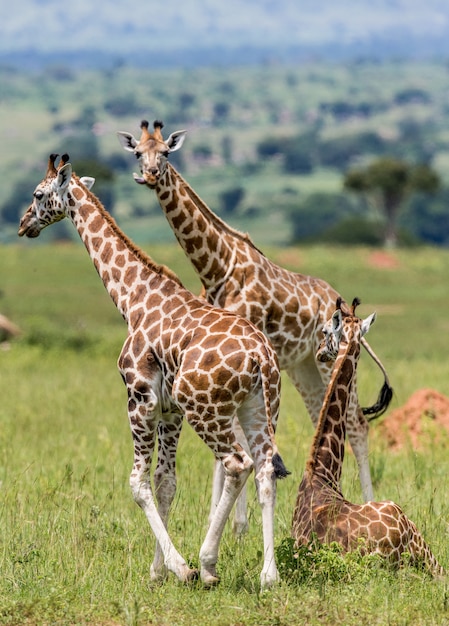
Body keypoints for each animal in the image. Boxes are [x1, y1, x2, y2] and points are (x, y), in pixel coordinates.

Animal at [17, 154, 288, 588]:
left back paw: (208, 564)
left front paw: (180, 568)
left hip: (207, 410)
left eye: (39, 194)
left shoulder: (139, 397)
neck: (132, 298)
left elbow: (138, 484)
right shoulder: (170, 410)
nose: (24, 224)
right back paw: (268, 575)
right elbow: (166, 483)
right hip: (259, 408)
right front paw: (157, 571)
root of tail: (261, 356)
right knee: (265, 471)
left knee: (237, 465)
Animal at [116, 118, 392, 520]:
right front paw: (222, 516)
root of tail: (337, 297)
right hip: (305, 366)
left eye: (165, 153)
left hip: (326, 362)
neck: (217, 265)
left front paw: (235, 522)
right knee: (320, 416)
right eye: (138, 153)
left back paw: (368, 500)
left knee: (356, 424)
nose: (150, 175)